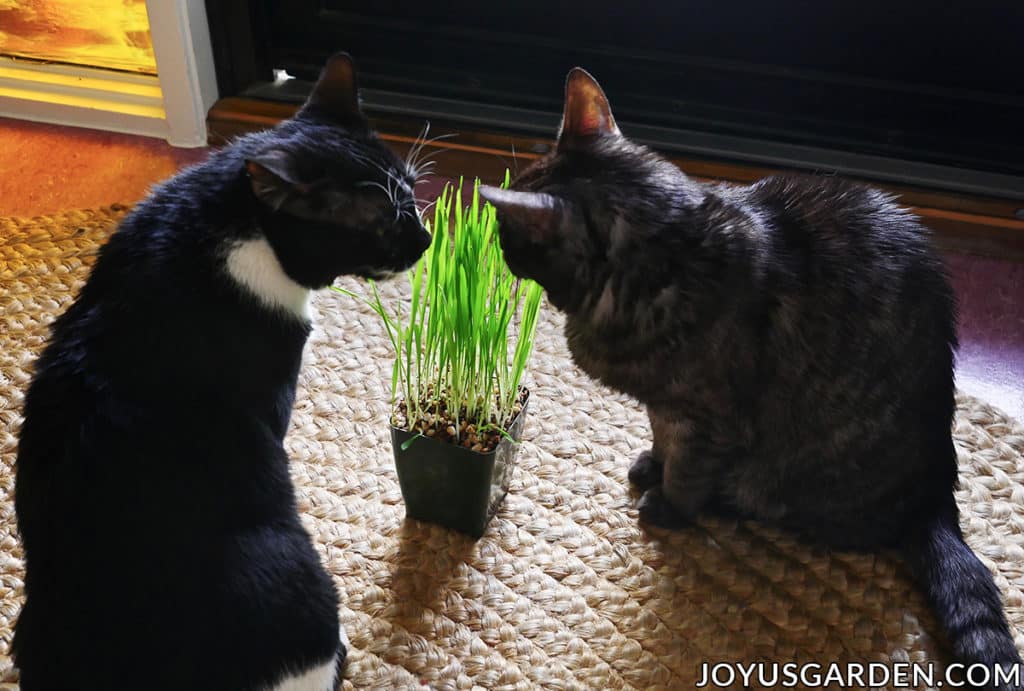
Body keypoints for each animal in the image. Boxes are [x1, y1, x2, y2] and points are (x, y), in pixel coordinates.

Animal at [479, 67, 1024, 687]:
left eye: (507, 231)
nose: (495, 246)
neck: (666, 256)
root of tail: (935, 498)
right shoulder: (668, 405)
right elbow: (662, 439)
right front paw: (652, 466)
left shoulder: (708, 419)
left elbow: (688, 470)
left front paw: (670, 507)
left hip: (791, 474)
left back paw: (721, 504)